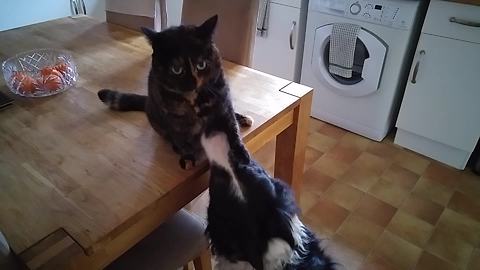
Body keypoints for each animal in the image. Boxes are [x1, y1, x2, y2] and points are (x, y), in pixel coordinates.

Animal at [99, 15, 253, 169]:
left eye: (201, 65)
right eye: (176, 69)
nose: (193, 83)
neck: (194, 101)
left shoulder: (223, 102)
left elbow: (232, 129)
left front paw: (241, 155)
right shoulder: (172, 119)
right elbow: (181, 140)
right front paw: (188, 157)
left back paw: (243, 118)